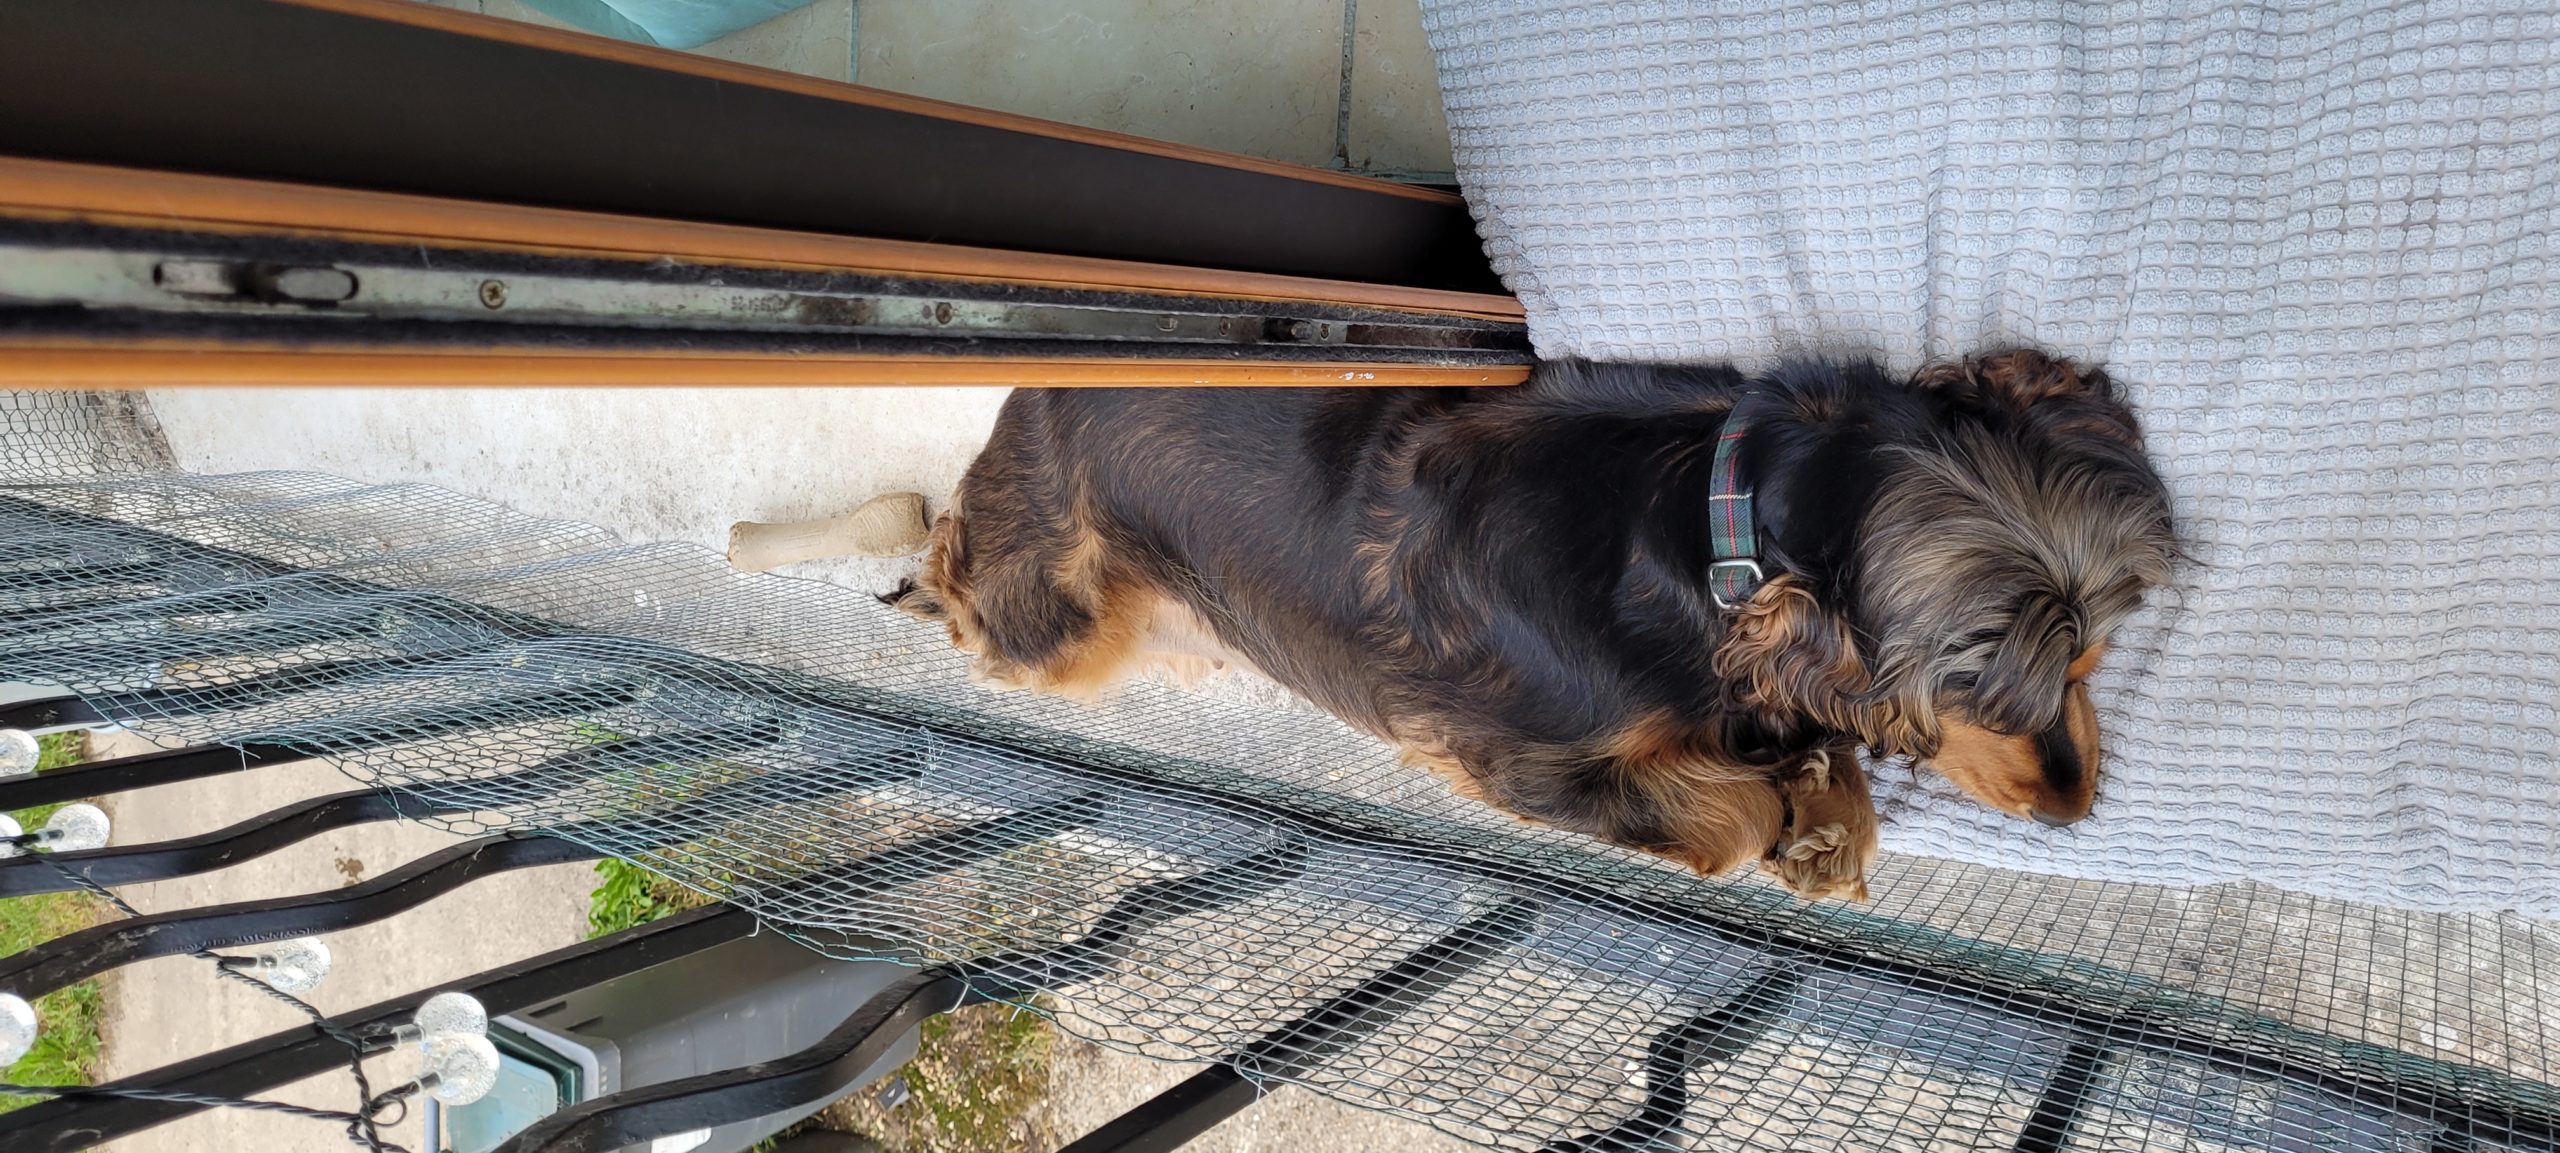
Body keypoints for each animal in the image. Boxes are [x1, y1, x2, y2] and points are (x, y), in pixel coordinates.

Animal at [890, 348, 2170, 901]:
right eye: (1977, 699)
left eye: (2094, 660)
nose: (2076, 805)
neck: (1707, 524)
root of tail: (1030, 384)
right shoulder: (1516, 754)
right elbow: (1732, 817)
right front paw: (1793, 812)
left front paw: (1829, 811)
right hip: (1058, 619)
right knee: (961, 568)